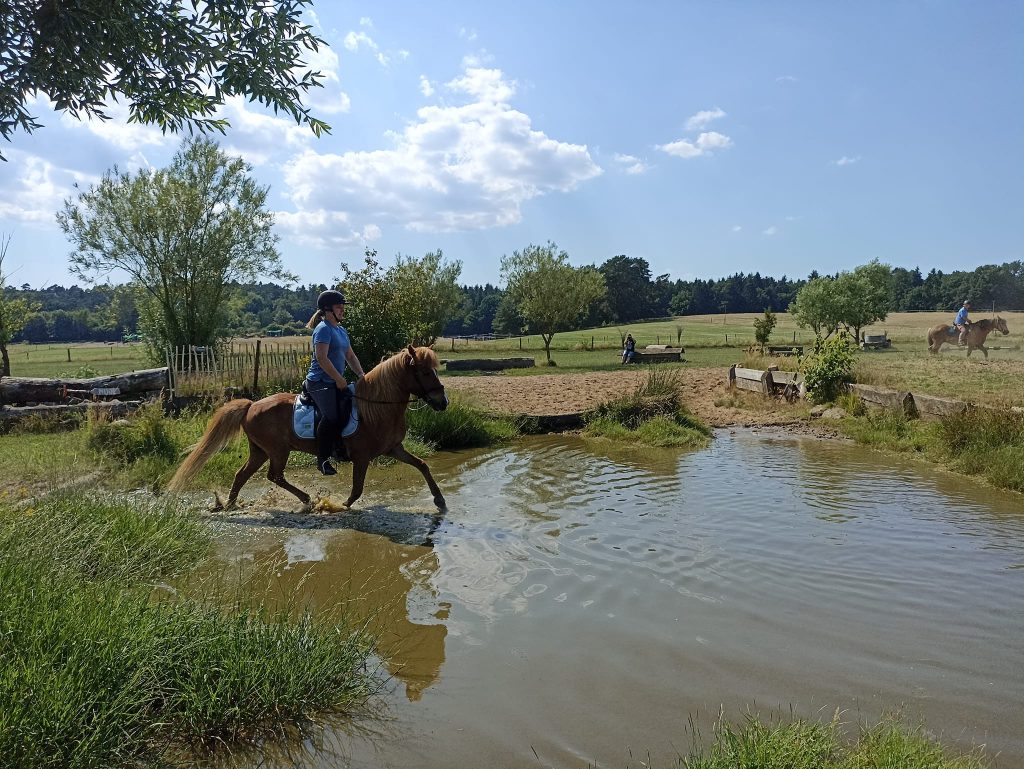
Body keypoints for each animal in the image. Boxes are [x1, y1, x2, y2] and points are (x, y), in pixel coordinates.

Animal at [167, 348, 448, 511]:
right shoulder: (362, 457)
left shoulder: (393, 448)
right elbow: (357, 488)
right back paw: (308, 500)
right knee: (275, 476)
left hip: (260, 451)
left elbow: (422, 465)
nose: (442, 402)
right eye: (425, 372)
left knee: (242, 474)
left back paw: (230, 504)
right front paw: (340, 505)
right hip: (277, 451)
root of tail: (250, 406)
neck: (377, 407)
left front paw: (440, 500)